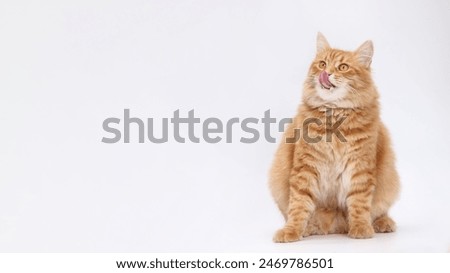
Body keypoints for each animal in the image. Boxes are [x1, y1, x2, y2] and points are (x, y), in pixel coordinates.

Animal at [268, 33, 400, 241]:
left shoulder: (360, 167)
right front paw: (292, 230)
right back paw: (309, 228)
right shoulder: (306, 167)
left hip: (390, 181)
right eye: (322, 64)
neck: (334, 115)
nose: (326, 73)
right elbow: (298, 205)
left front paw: (361, 228)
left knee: (379, 211)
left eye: (343, 67)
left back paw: (382, 223)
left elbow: (359, 203)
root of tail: (334, 227)